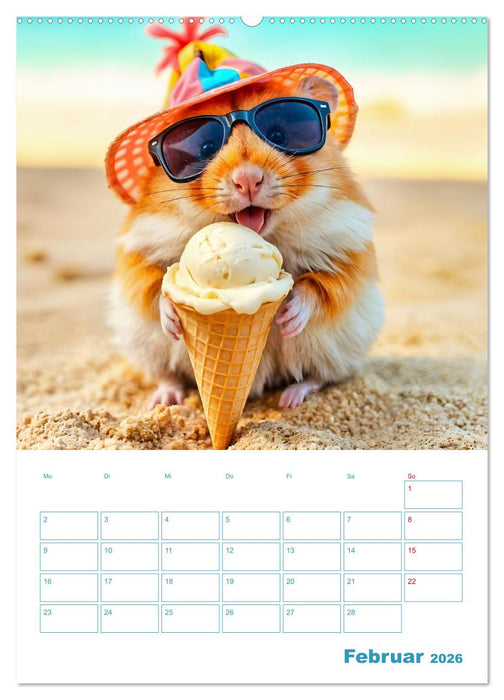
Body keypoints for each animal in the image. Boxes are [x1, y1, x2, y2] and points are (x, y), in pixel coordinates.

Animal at [109, 75, 384, 409]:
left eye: (279, 135)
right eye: (205, 147)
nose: (248, 180)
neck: (268, 234)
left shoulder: (349, 251)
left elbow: (323, 286)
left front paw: (288, 318)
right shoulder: (139, 251)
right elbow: (152, 288)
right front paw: (173, 321)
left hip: (341, 347)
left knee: (319, 377)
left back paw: (291, 398)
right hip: (144, 346)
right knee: (166, 374)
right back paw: (164, 400)